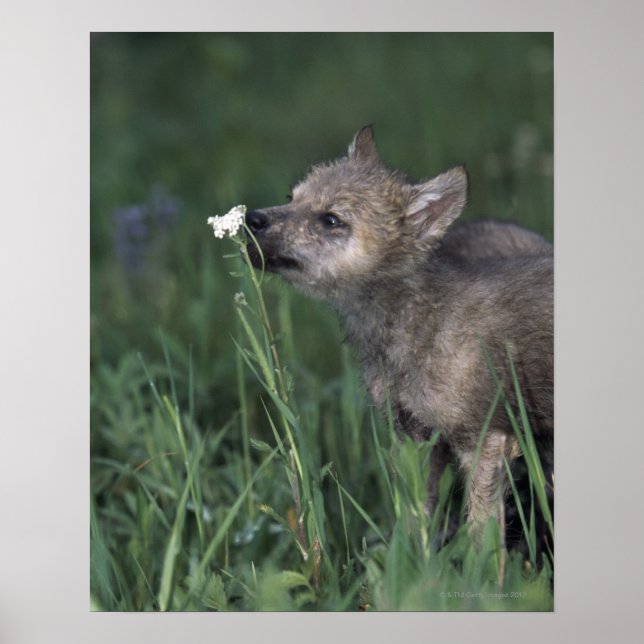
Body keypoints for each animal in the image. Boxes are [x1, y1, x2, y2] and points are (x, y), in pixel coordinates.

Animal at [245, 126, 553, 542]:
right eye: (291, 198)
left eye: (331, 219)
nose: (252, 218)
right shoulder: (412, 436)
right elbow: (415, 519)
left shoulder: (484, 440)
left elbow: (481, 536)